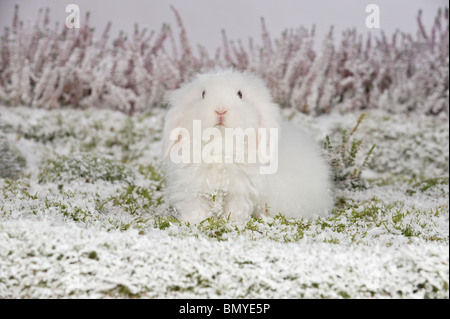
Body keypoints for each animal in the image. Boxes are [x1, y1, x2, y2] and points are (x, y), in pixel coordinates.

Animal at [161, 69, 330, 224]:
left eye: (240, 94)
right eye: (203, 94)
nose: (220, 110)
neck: (220, 146)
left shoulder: (241, 193)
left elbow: (235, 210)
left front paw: (233, 222)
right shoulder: (193, 191)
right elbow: (196, 209)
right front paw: (192, 223)